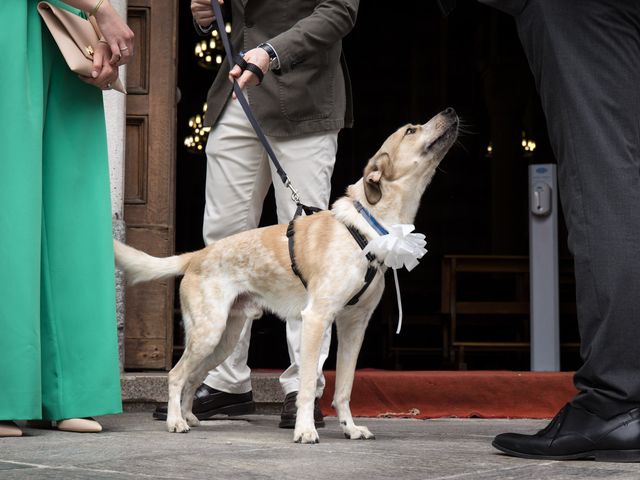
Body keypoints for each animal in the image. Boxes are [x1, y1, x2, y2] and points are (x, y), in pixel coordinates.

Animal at [114, 108, 456, 442]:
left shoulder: (354, 325)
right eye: (410, 130)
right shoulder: (316, 318)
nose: (452, 111)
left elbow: (344, 389)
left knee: (192, 377)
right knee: (176, 375)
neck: (367, 226)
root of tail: (196, 255)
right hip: (208, 332)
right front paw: (305, 429)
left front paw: (350, 427)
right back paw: (175, 421)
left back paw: (188, 416)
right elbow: (305, 386)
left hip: (223, 339)